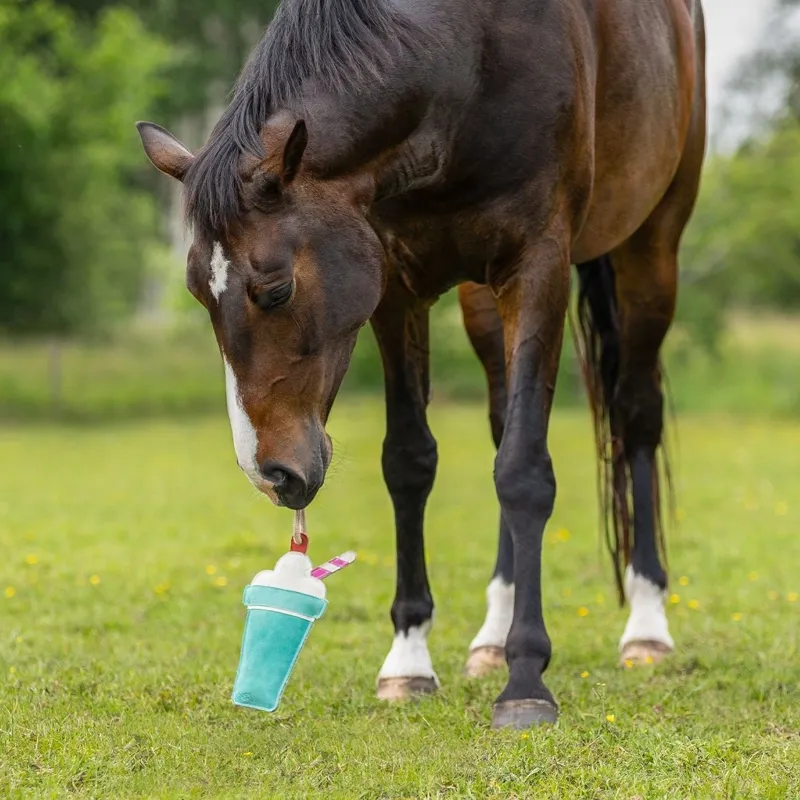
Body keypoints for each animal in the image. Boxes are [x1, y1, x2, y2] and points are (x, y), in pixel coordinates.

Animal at [137, 0, 706, 729]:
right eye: (196, 293)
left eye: (276, 288)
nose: (271, 475)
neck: (468, 60)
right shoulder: (395, 285)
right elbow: (410, 462)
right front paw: (408, 659)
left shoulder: (538, 267)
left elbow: (524, 472)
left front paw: (527, 679)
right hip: (482, 299)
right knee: (503, 424)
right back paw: (491, 637)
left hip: (651, 250)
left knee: (635, 419)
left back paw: (646, 625)